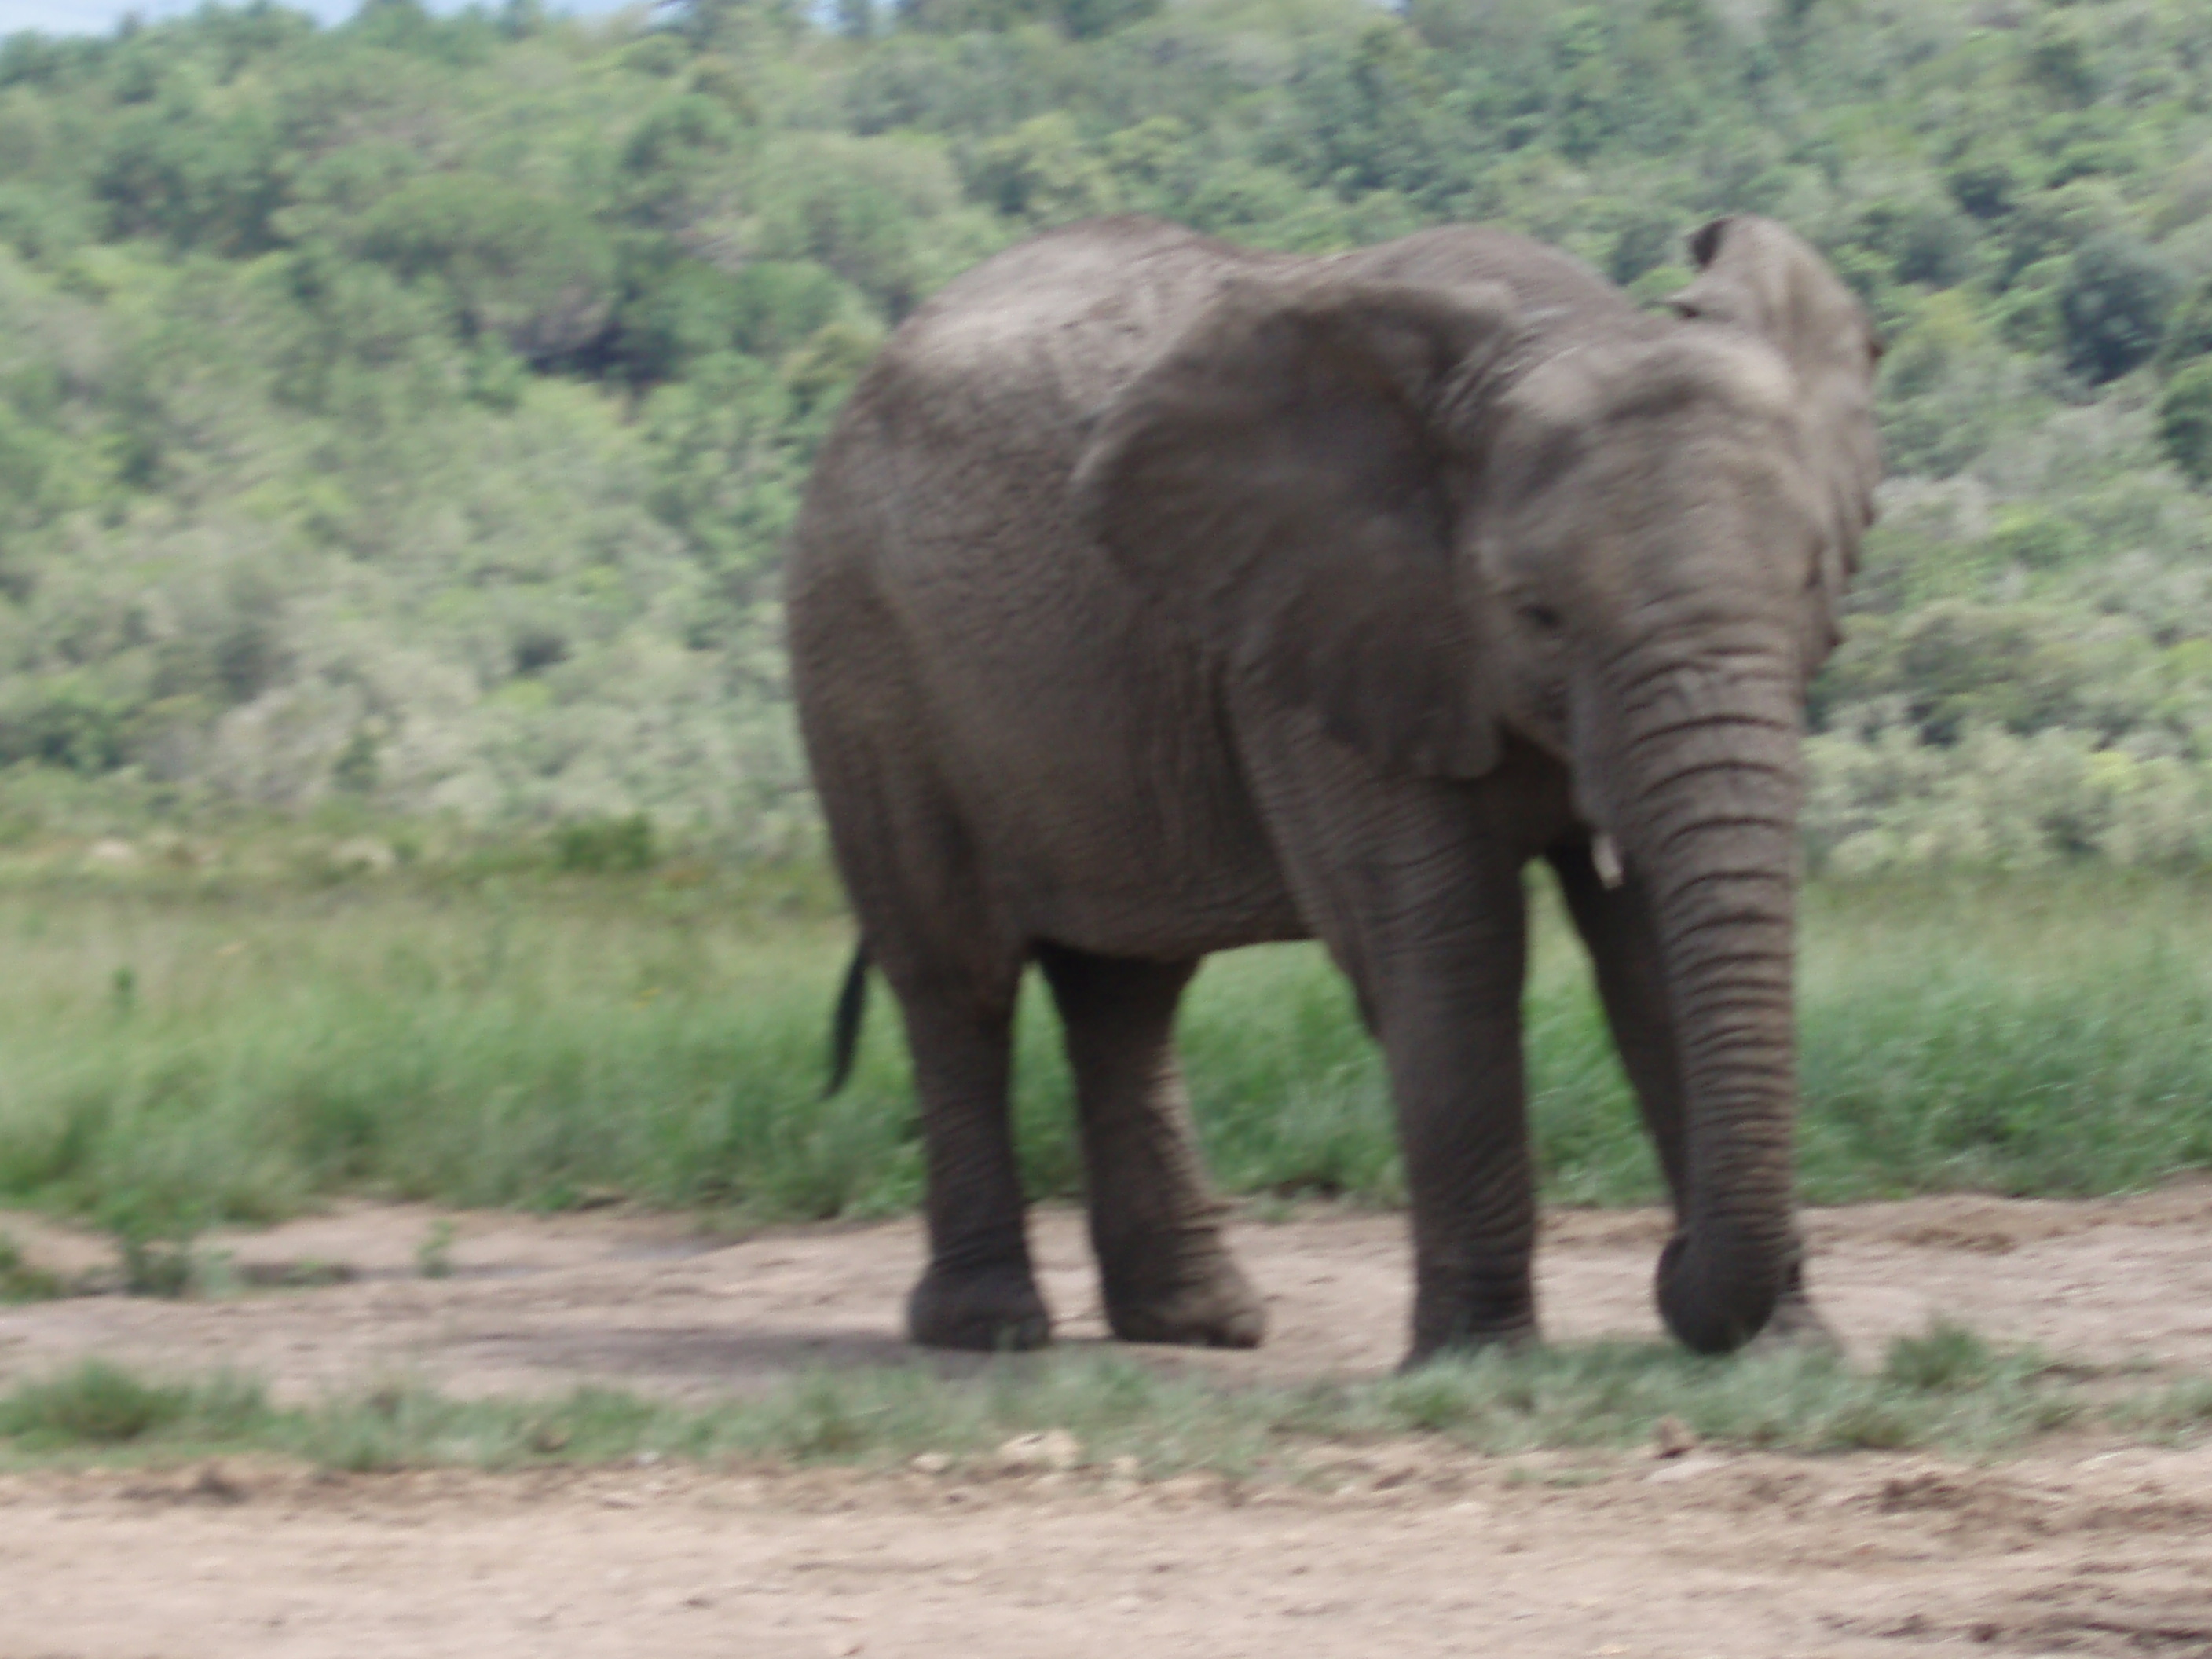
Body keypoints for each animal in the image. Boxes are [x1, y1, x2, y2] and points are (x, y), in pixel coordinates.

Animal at [786, 212, 1880, 1365]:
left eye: (1812, 579)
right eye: (1536, 613)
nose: (1669, 1273)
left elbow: (1647, 949)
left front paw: (1786, 1353)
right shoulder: (1323, 645)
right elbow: (1451, 943)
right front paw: (1480, 1364)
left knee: (1126, 992)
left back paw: (1199, 1324)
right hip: (861, 663)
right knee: (959, 981)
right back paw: (989, 1332)